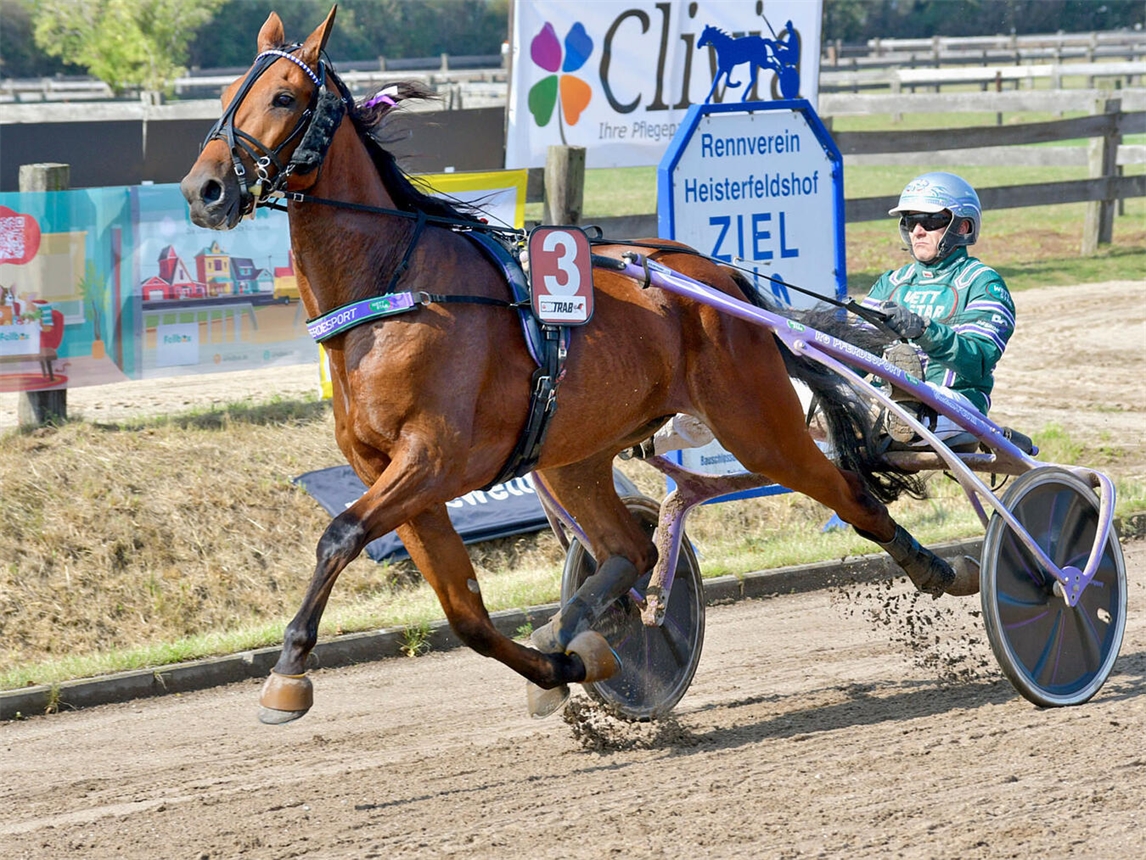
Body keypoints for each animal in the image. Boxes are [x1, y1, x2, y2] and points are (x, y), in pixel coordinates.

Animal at [181, 7, 974, 725]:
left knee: (849, 492)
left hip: (754, 422)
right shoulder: (392, 473)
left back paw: (943, 568)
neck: (392, 290)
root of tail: (715, 274)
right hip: (576, 453)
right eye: (224, 100)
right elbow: (464, 613)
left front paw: (288, 669)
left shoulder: (432, 459)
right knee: (630, 548)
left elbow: (339, 535)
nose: (203, 190)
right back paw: (579, 632)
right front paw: (563, 665)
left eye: (285, 96)